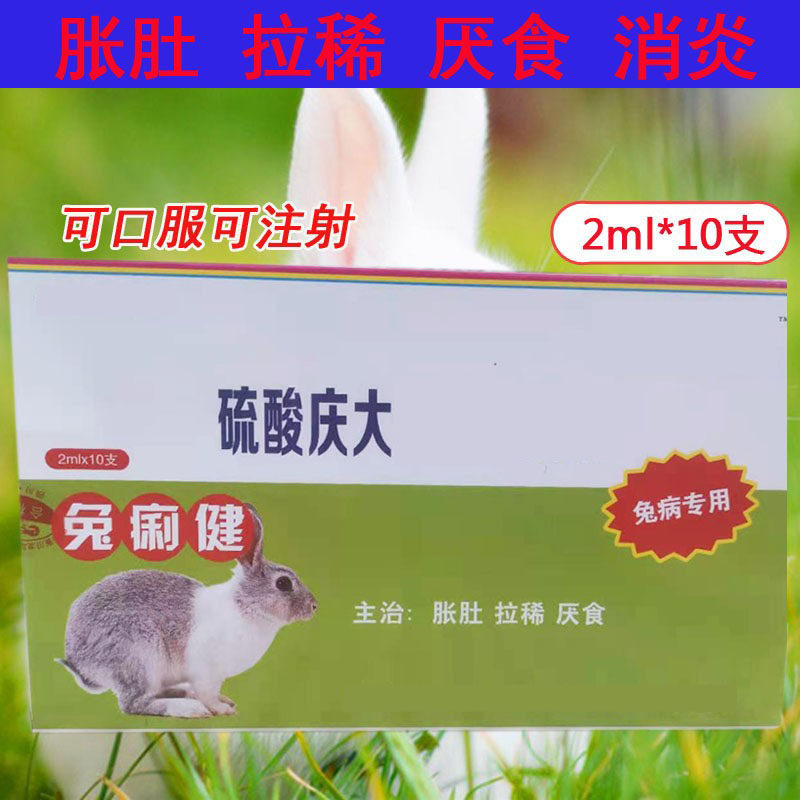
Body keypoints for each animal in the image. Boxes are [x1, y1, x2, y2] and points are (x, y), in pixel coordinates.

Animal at [56, 504, 317, 717]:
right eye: (283, 583)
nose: (314, 606)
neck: (245, 605)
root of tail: (79, 660)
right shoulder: (206, 670)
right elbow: (207, 693)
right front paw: (221, 709)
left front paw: (225, 702)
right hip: (139, 656)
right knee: (135, 704)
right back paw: (189, 709)